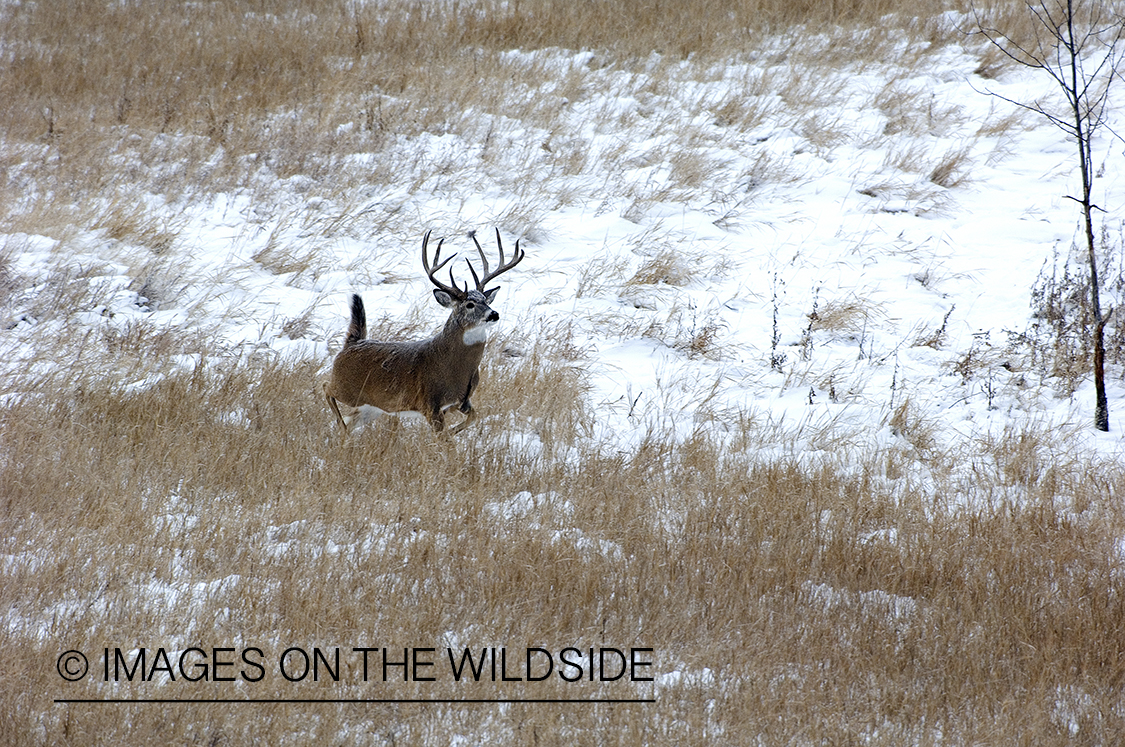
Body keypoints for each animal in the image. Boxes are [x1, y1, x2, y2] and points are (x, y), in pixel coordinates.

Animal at [321, 229, 522, 438]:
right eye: (469, 304)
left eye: (485, 300)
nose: (494, 314)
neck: (455, 368)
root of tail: (352, 344)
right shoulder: (430, 404)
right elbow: (445, 440)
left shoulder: (460, 403)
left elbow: (472, 418)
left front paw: (451, 433)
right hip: (348, 389)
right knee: (326, 387)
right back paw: (340, 425)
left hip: (371, 407)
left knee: (350, 418)